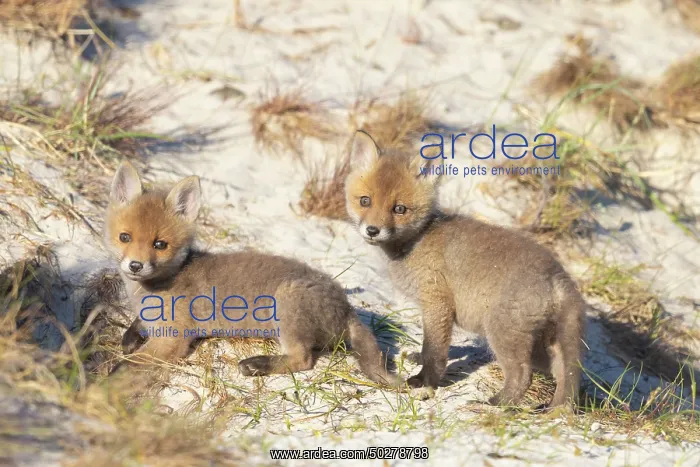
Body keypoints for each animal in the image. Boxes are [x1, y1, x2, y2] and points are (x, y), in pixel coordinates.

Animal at [104, 161, 398, 386]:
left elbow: (130, 364)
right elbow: (136, 328)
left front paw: (105, 386)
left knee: (303, 360)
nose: (135, 266)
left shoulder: (173, 339)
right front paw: (130, 337)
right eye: (124, 237)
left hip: (286, 307)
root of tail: (347, 307)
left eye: (159, 245)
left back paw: (257, 365)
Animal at [344, 130, 586, 408]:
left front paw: (424, 381)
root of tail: (558, 275)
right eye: (365, 201)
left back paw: (494, 405)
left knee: (523, 375)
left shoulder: (437, 303)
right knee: (564, 379)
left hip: (502, 334)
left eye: (399, 209)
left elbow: (434, 351)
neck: (418, 241)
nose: (372, 230)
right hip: (547, 346)